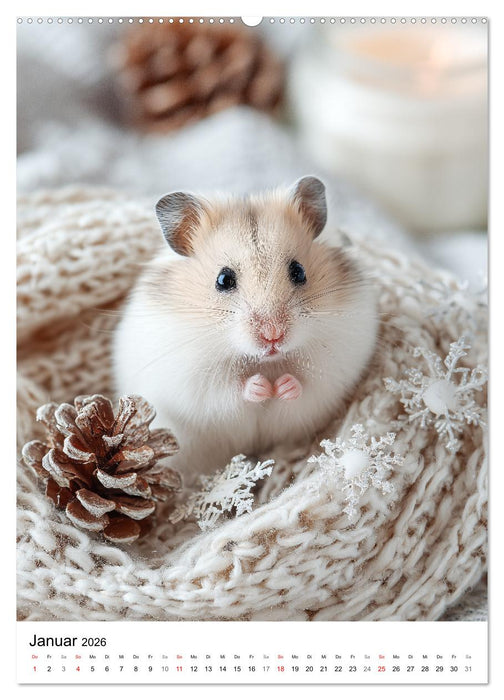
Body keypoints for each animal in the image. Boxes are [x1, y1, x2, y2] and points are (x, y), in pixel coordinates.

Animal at [113, 177, 378, 484]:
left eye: (299, 271)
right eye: (223, 279)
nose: (273, 336)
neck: (265, 362)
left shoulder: (332, 369)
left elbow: (304, 386)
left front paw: (282, 386)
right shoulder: (194, 382)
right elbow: (230, 390)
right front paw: (261, 386)